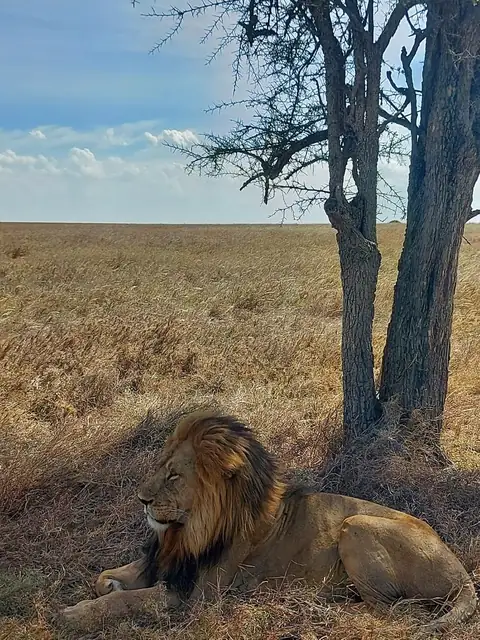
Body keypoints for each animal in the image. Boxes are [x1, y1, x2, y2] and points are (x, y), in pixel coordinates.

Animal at [61, 410, 477, 631]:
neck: (187, 531)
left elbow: (128, 601)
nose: (142, 501)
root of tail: (462, 573)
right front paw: (110, 584)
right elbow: (107, 579)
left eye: (174, 476)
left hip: (356, 525)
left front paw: (73, 614)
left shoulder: (195, 596)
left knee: (393, 609)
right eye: (159, 467)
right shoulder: (169, 564)